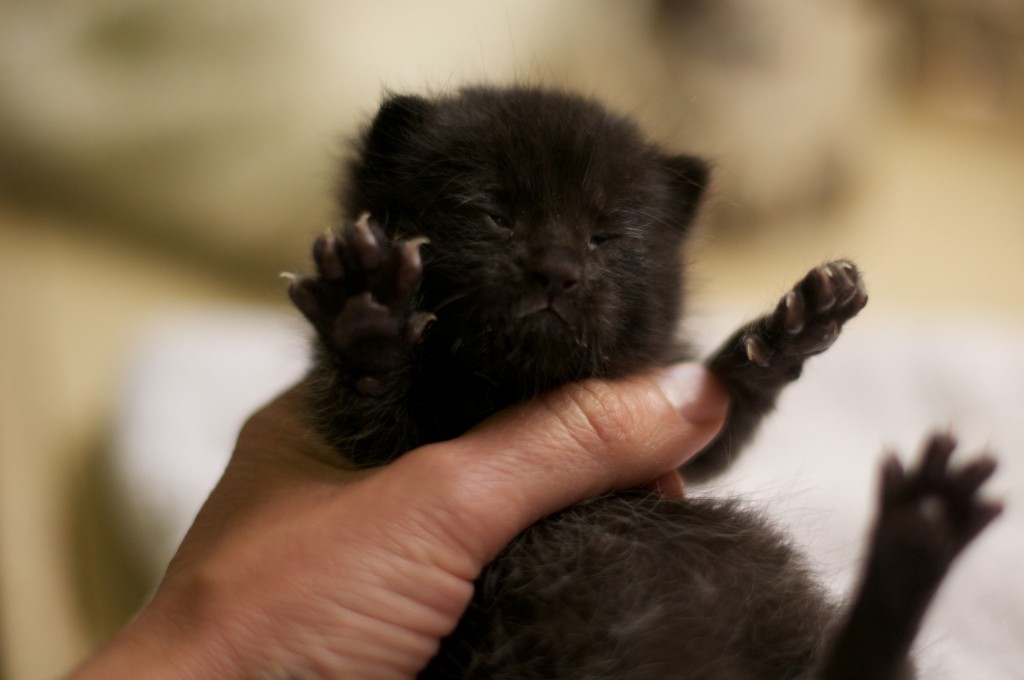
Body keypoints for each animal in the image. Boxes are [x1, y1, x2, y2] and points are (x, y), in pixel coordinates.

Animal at [288, 87, 999, 680]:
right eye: (492, 213)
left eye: (606, 236)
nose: (556, 271)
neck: (521, 386)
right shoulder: (380, 451)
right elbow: (370, 405)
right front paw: (369, 318)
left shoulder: (686, 449)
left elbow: (726, 404)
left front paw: (784, 337)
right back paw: (918, 535)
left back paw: (921, 532)